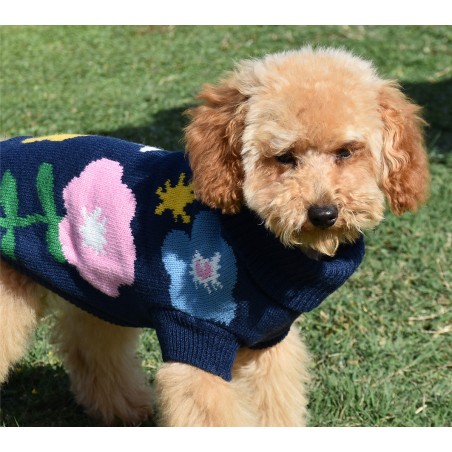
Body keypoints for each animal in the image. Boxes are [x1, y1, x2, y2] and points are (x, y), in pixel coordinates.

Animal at [0, 46, 429, 426]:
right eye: (284, 157)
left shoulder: (269, 344)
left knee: (88, 347)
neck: (250, 236)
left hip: (101, 288)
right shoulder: (197, 336)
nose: (323, 213)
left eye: (346, 152)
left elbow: (276, 407)